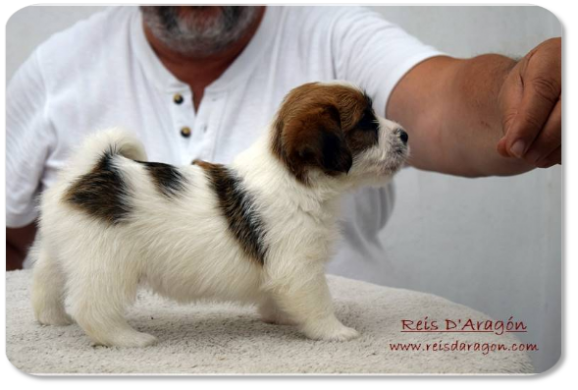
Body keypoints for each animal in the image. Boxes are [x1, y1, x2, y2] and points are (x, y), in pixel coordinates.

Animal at [31, 82, 408, 348]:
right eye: (366, 123)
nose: (405, 133)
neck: (294, 179)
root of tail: (95, 167)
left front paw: (280, 316)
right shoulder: (300, 268)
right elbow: (317, 302)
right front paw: (334, 331)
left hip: (61, 249)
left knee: (46, 280)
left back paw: (51, 318)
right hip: (107, 265)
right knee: (92, 307)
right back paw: (127, 339)